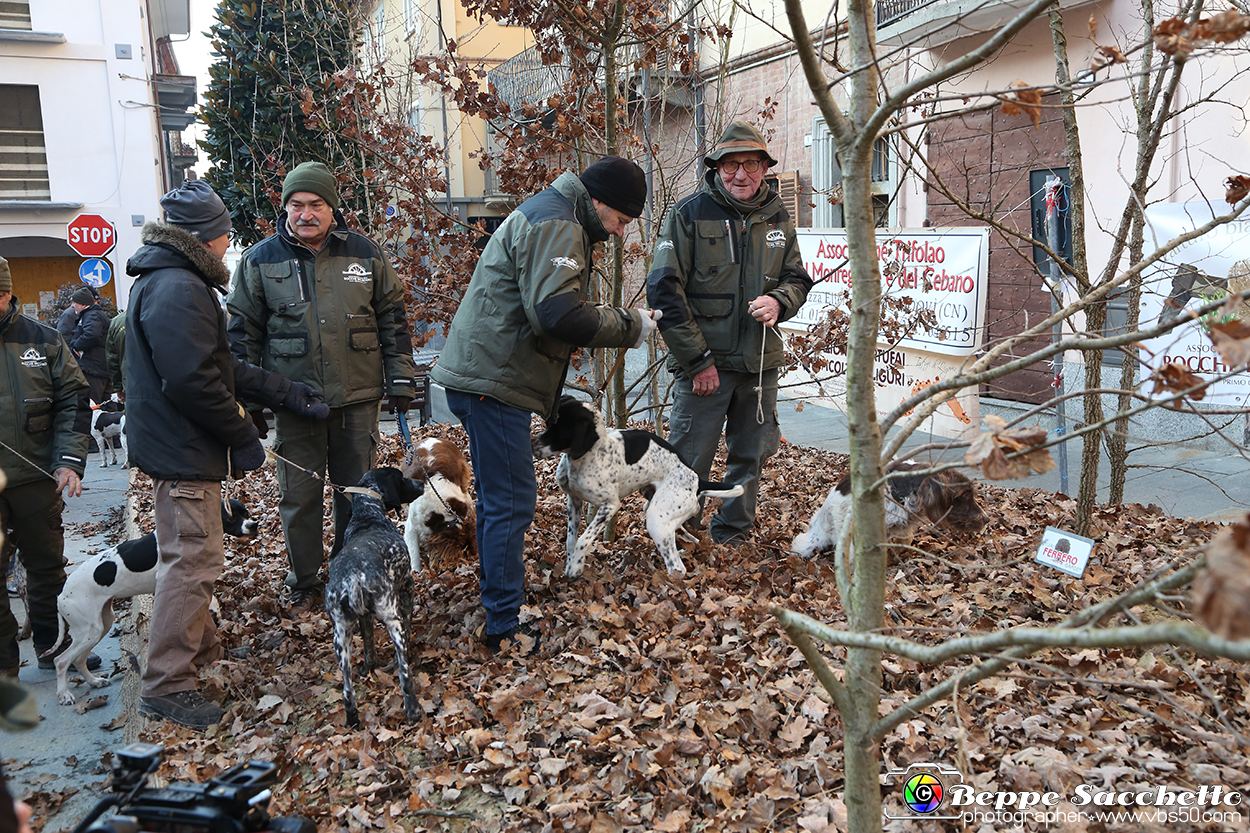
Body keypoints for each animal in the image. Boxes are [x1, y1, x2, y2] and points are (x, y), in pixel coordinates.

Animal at [45, 495, 258, 705]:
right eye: (231, 518)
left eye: (246, 513)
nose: (254, 524)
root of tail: (61, 595)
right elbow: (209, 598)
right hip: (89, 630)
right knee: (61, 661)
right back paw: (64, 694)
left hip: (100, 625)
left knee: (78, 660)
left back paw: (94, 681)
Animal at [325, 467, 427, 725]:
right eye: (401, 477)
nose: (421, 484)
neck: (367, 515)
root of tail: (352, 578)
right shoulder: (406, 589)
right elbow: (408, 628)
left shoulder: (363, 619)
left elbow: (369, 643)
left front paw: (368, 667)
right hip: (392, 620)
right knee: (404, 674)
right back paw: (412, 710)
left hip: (340, 637)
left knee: (347, 690)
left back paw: (352, 718)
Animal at [535, 395, 745, 577]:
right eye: (548, 424)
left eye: (560, 430)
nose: (532, 444)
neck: (587, 455)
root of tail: (697, 479)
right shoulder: (574, 501)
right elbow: (571, 540)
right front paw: (571, 561)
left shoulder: (610, 505)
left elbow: (582, 540)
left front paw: (575, 567)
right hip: (655, 508)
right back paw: (690, 541)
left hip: (656, 519)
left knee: (676, 566)